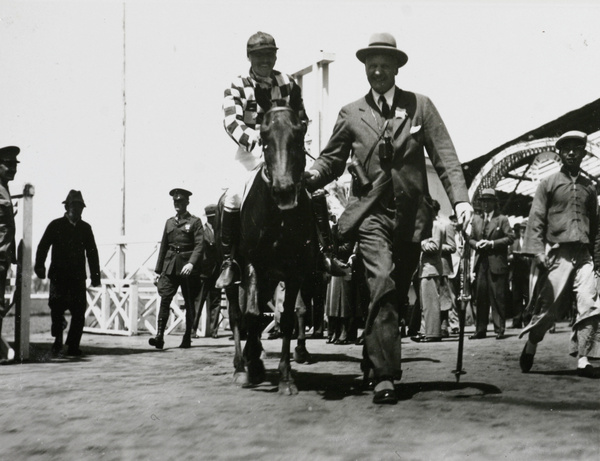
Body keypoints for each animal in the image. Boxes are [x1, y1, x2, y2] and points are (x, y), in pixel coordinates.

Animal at [216, 106, 318, 394]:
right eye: (264, 139)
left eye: (298, 136)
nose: (284, 190)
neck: (278, 217)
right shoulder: (253, 264)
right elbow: (250, 315)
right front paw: (249, 366)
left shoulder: (294, 272)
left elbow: (287, 317)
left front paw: (286, 377)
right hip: (235, 277)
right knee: (237, 315)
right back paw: (242, 366)